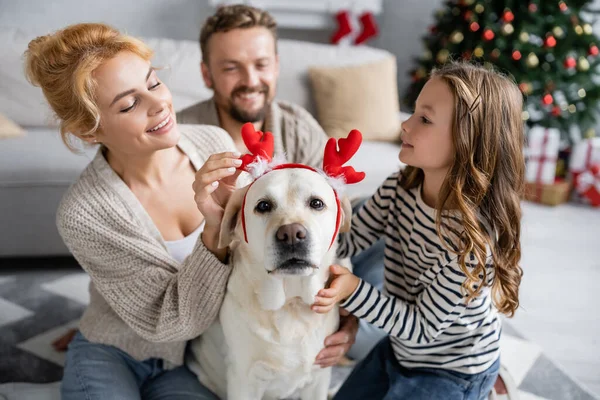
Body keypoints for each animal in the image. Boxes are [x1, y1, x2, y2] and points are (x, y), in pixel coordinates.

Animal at [190, 166, 354, 400]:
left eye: (316, 203)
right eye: (263, 205)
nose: (292, 234)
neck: (291, 304)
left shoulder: (318, 379)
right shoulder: (244, 382)